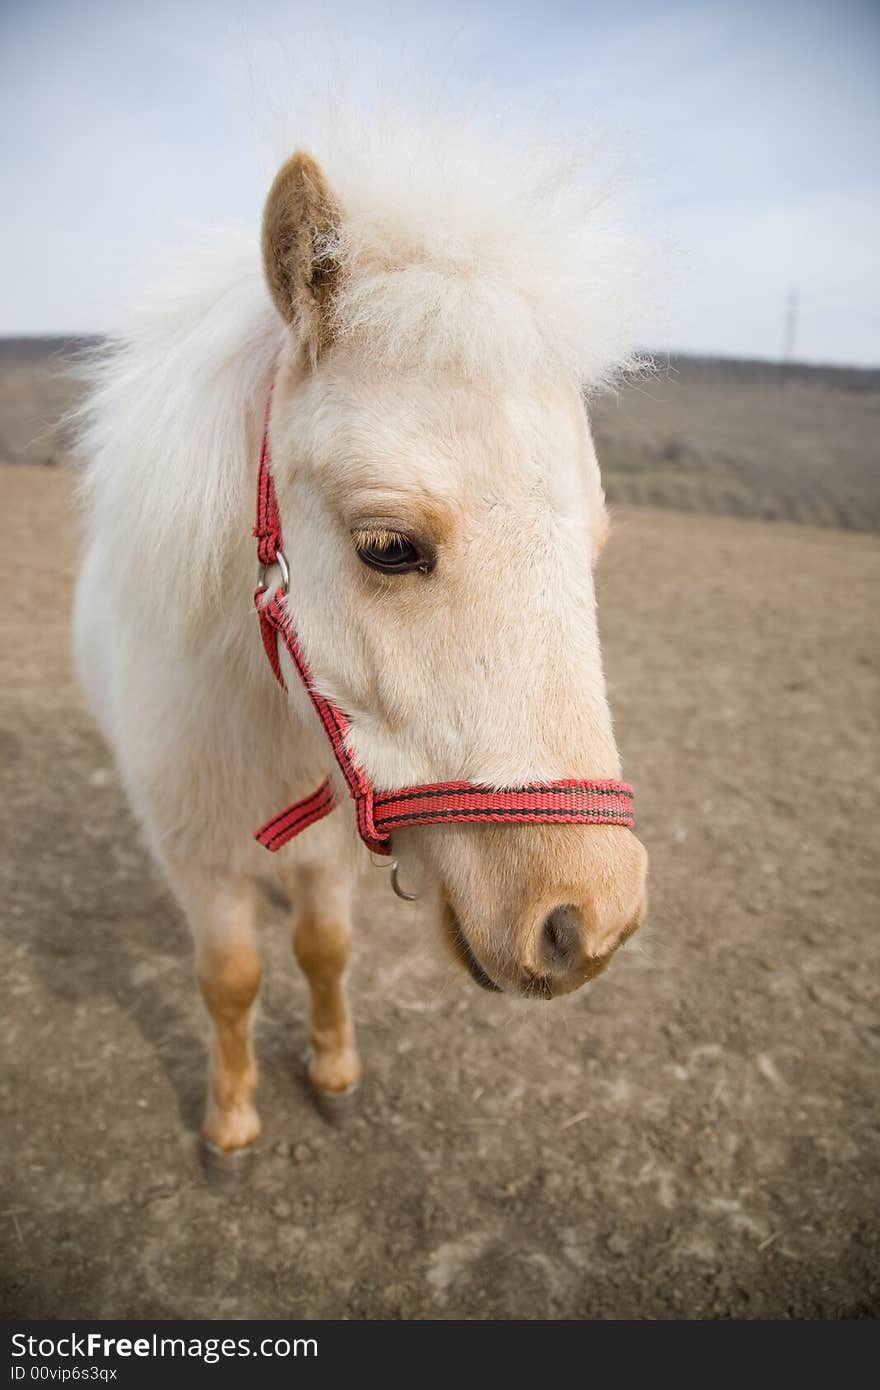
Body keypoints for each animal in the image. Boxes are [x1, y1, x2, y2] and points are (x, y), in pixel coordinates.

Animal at [73, 132, 645, 1150]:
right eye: (387, 546)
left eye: (596, 546)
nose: (588, 921)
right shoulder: (194, 860)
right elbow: (231, 981)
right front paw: (231, 1120)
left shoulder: (335, 851)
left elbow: (323, 950)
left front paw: (333, 1072)